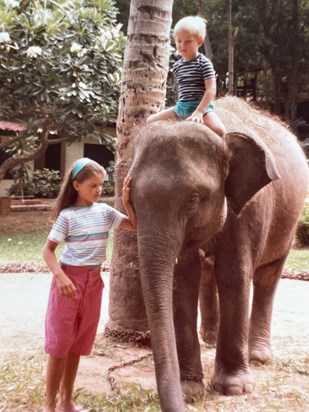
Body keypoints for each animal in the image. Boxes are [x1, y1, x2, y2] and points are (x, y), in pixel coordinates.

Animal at [127, 97, 308, 412]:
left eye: (193, 199)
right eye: (131, 197)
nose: (179, 402)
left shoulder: (250, 209)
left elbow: (234, 275)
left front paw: (233, 388)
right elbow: (184, 280)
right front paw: (190, 389)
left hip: (289, 222)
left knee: (267, 277)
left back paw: (258, 356)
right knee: (208, 272)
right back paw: (210, 338)